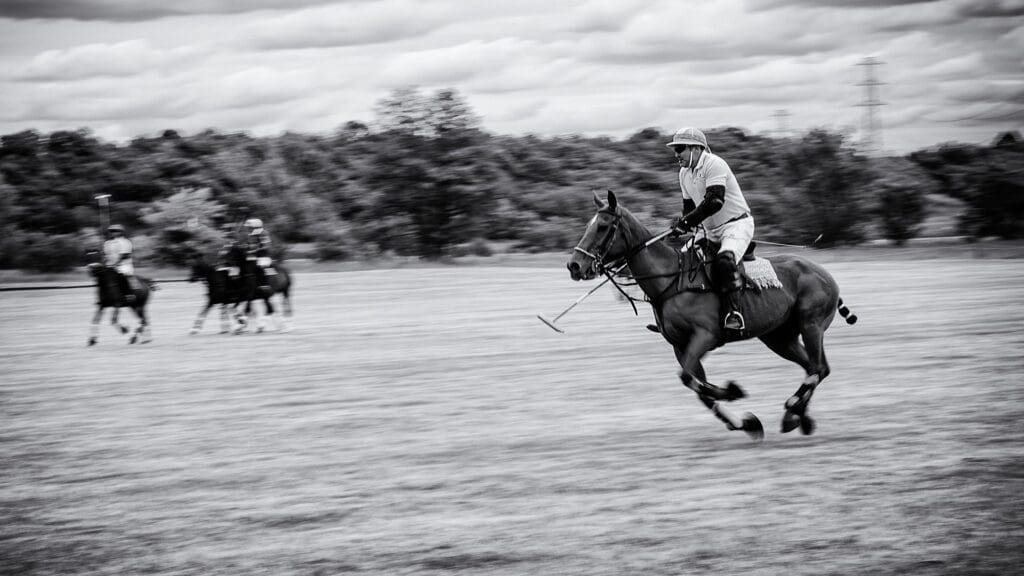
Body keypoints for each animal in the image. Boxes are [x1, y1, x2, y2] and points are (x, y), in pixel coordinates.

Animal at [569, 191, 856, 438]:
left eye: (603, 226)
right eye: (590, 224)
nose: (574, 266)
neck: (671, 279)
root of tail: (823, 273)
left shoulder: (704, 336)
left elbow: (688, 378)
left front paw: (732, 392)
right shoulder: (681, 346)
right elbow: (697, 386)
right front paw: (745, 423)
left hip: (811, 325)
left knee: (817, 368)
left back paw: (792, 409)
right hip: (779, 337)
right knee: (815, 368)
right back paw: (798, 417)